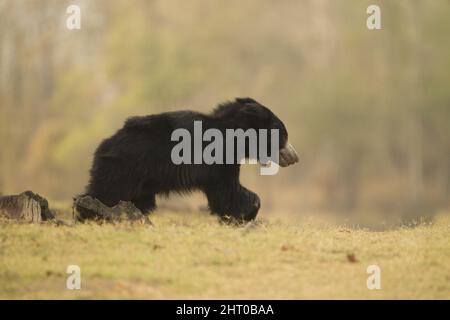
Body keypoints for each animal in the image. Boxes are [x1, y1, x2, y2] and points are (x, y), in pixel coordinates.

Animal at [81, 98, 298, 222]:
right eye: (284, 134)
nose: (294, 157)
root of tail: (104, 145)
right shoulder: (216, 160)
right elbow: (228, 189)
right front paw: (247, 212)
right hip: (125, 168)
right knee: (106, 192)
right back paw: (89, 209)